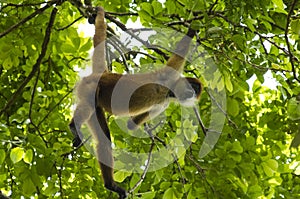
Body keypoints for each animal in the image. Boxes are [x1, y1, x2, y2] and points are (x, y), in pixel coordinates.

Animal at [69, 6, 203, 199]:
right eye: (192, 88)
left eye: (194, 92)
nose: (191, 94)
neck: (169, 92)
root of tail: (103, 75)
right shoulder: (167, 77)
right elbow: (178, 55)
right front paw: (192, 28)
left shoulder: (164, 103)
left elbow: (131, 124)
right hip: (89, 88)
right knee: (86, 107)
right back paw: (74, 126)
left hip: (97, 103)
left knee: (104, 139)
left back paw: (111, 185)